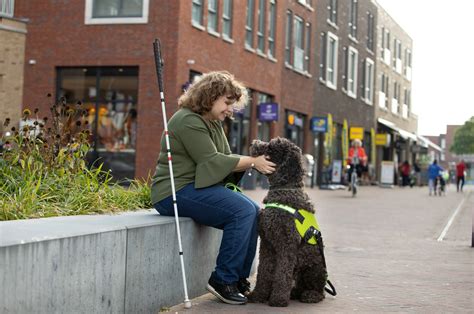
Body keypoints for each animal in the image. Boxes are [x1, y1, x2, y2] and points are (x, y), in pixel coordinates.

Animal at [248, 137, 330, 306]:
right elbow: (264, 272)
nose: (253, 142)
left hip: (315, 269)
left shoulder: (287, 245)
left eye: (271, 148)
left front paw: (278, 299)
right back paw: (294, 292)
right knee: (299, 286)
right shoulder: (266, 244)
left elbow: (282, 274)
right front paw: (258, 295)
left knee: (320, 291)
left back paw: (310, 295)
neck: (285, 189)